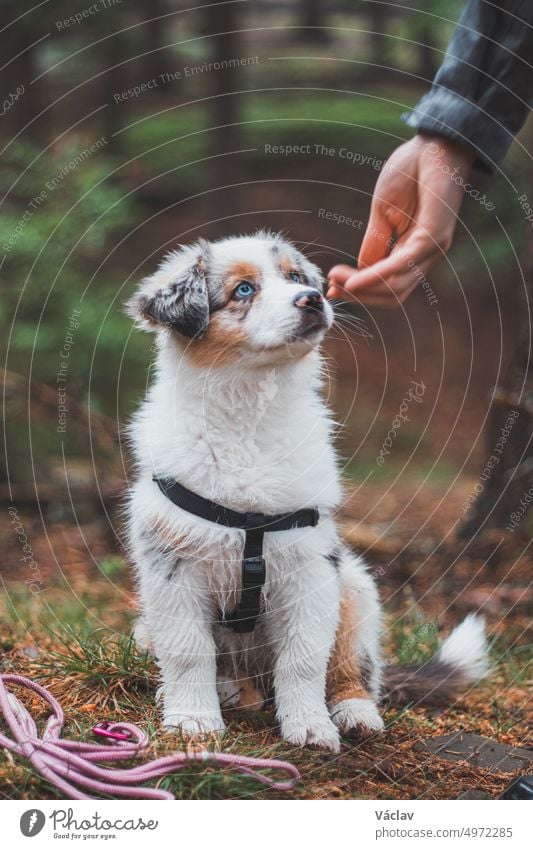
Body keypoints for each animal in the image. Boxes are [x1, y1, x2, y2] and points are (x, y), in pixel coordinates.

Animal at [125, 230, 486, 748]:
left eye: (296, 277)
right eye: (243, 290)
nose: (313, 298)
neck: (249, 412)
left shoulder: (309, 568)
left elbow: (303, 660)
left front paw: (311, 727)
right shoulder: (173, 566)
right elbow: (188, 651)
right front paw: (193, 721)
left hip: (355, 586)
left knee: (354, 669)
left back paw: (355, 713)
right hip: (145, 628)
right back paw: (229, 692)